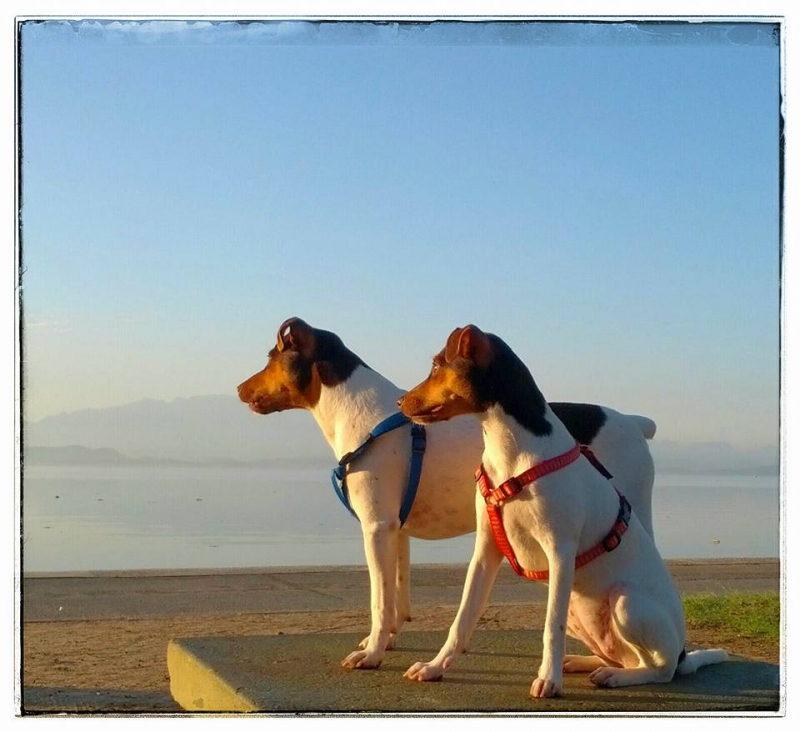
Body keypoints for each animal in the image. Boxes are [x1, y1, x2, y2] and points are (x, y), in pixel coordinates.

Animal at [239, 318, 664, 672]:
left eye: (270, 356)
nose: (238, 388)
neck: (358, 411)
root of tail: (634, 422)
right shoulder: (396, 530)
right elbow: (397, 595)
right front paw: (387, 641)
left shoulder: (375, 527)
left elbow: (379, 600)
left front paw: (372, 653)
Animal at [396, 326, 728, 696]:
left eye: (436, 366)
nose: (399, 403)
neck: (511, 452)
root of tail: (683, 652)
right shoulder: (486, 550)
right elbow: (463, 618)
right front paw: (435, 666)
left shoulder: (560, 552)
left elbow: (549, 629)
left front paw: (548, 680)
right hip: (580, 611)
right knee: (622, 657)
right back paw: (587, 663)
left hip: (627, 603)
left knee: (659, 668)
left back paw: (617, 677)